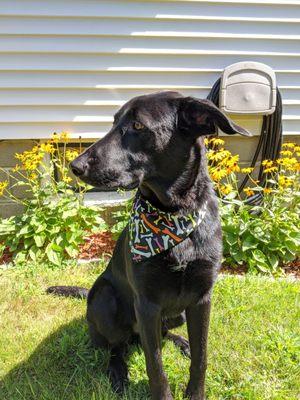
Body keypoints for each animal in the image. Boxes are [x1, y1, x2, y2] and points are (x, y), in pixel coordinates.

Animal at [48, 91, 251, 400]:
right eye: (114, 122)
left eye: (138, 126)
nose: (75, 166)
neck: (175, 214)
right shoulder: (146, 305)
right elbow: (155, 366)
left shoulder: (202, 299)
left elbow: (201, 356)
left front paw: (195, 390)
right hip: (105, 299)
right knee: (117, 347)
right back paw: (118, 372)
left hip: (178, 314)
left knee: (163, 334)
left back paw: (182, 342)